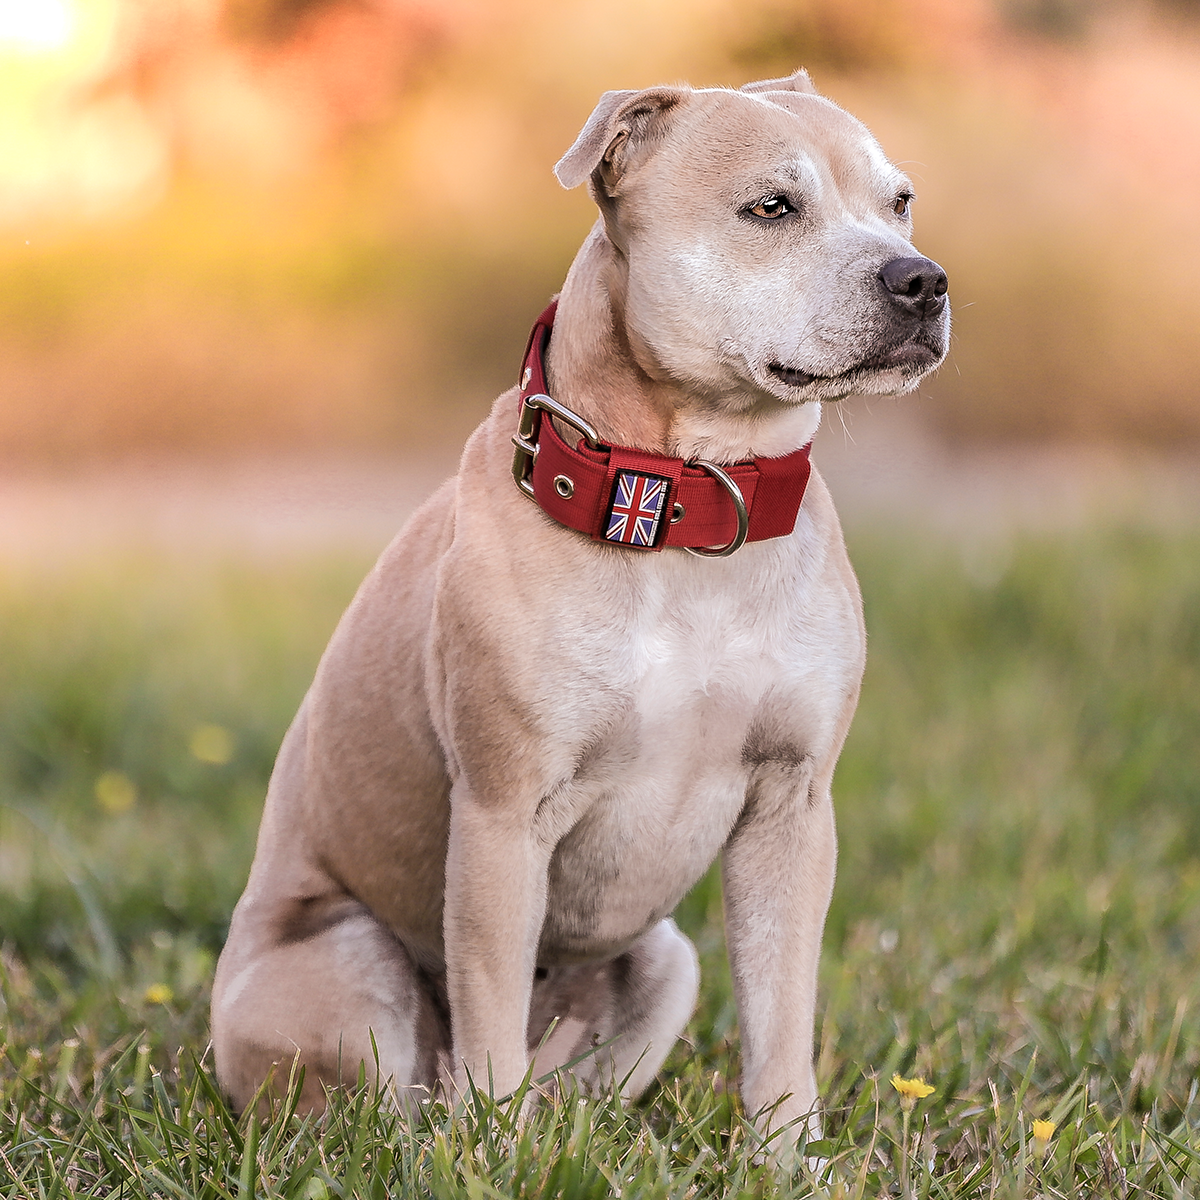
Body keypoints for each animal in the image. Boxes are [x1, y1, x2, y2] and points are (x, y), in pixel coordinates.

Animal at [213, 65, 945, 1152]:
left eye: (900, 202)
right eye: (772, 208)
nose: (922, 280)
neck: (683, 503)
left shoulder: (792, 811)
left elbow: (781, 1019)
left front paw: (788, 1160)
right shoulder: (502, 816)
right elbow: (488, 1014)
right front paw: (500, 1161)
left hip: (667, 962)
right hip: (345, 964)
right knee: (393, 1098)